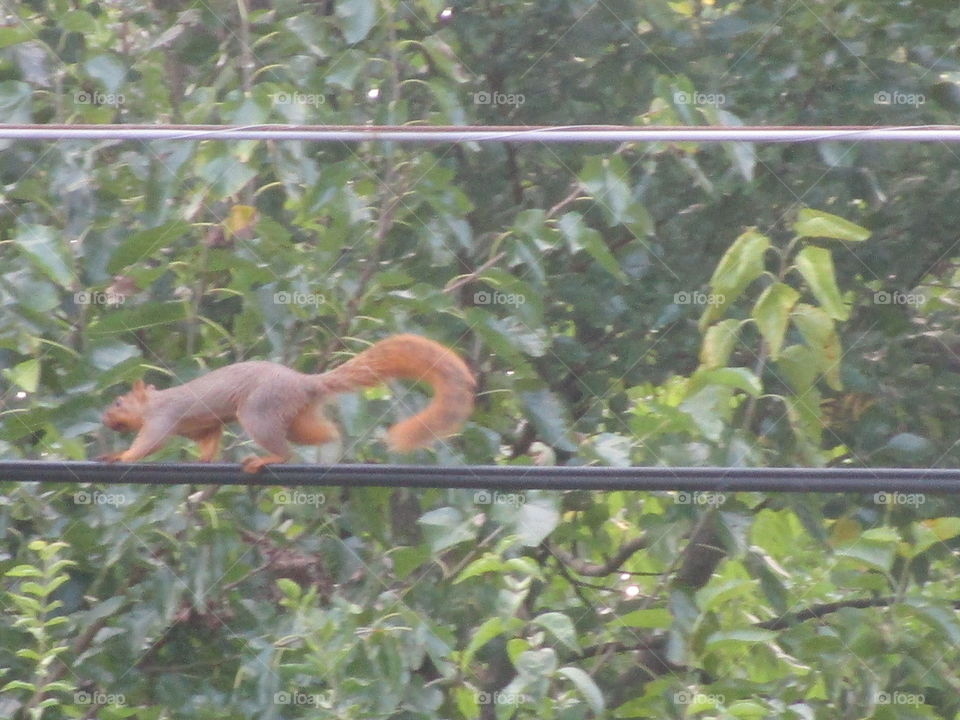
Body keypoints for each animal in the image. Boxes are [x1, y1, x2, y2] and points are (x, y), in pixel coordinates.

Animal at [99, 334, 475, 473]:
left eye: (118, 402)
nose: (104, 420)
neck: (154, 401)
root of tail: (304, 382)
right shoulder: (203, 426)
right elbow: (209, 439)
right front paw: (204, 459)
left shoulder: (164, 417)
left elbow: (149, 443)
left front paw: (120, 455)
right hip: (296, 418)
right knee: (319, 433)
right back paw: (332, 446)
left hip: (259, 412)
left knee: (286, 452)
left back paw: (266, 459)